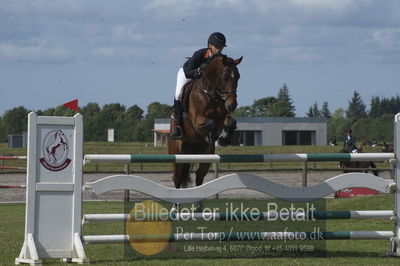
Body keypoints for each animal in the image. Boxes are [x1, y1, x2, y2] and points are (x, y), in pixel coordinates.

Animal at [167, 54, 242, 195]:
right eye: (225, 77)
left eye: (238, 77)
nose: (232, 105)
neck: (210, 93)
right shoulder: (197, 121)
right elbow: (211, 124)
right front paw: (213, 136)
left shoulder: (222, 117)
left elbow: (231, 122)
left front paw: (224, 140)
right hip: (177, 155)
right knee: (177, 178)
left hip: (205, 157)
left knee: (199, 177)